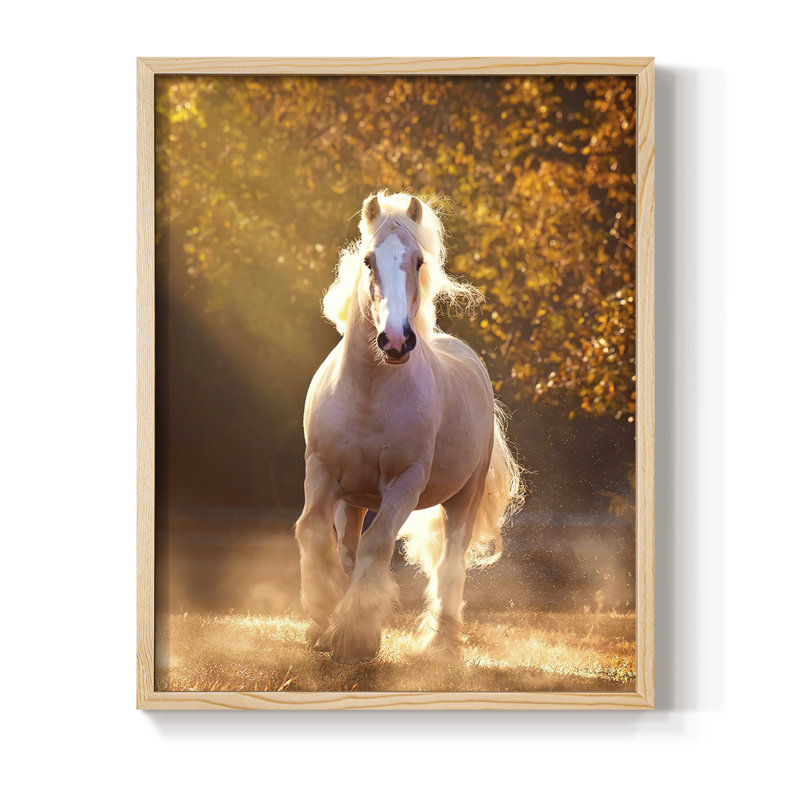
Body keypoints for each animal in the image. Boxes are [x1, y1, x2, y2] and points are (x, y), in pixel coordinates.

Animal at [295, 191, 522, 664]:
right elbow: (312, 532)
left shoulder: (404, 482)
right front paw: (323, 615)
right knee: (347, 547)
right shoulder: (321, 470)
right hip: (353, 499)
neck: (369, 392)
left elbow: (377, 543)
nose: (396, 341)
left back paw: (442, 642)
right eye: (367, 260)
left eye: (418, 261)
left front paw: (356, 636)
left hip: (464, 497)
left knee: (451, 562)